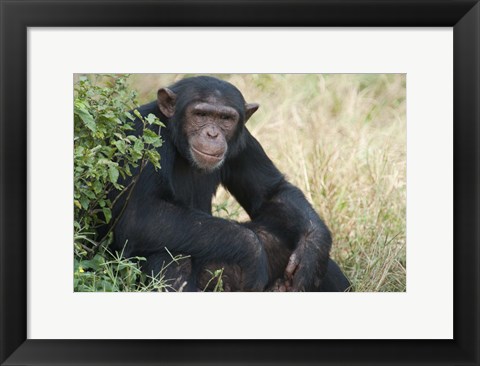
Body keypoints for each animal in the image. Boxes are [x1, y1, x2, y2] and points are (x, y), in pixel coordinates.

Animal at [108, 76, 348, 294]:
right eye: (200, 114)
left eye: (226, 118)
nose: (212, 134)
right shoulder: (146, 136)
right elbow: (141, 214)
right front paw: (253, 253)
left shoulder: (244, 141)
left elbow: (271, 192)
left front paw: (313, 247)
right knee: (170, 252)